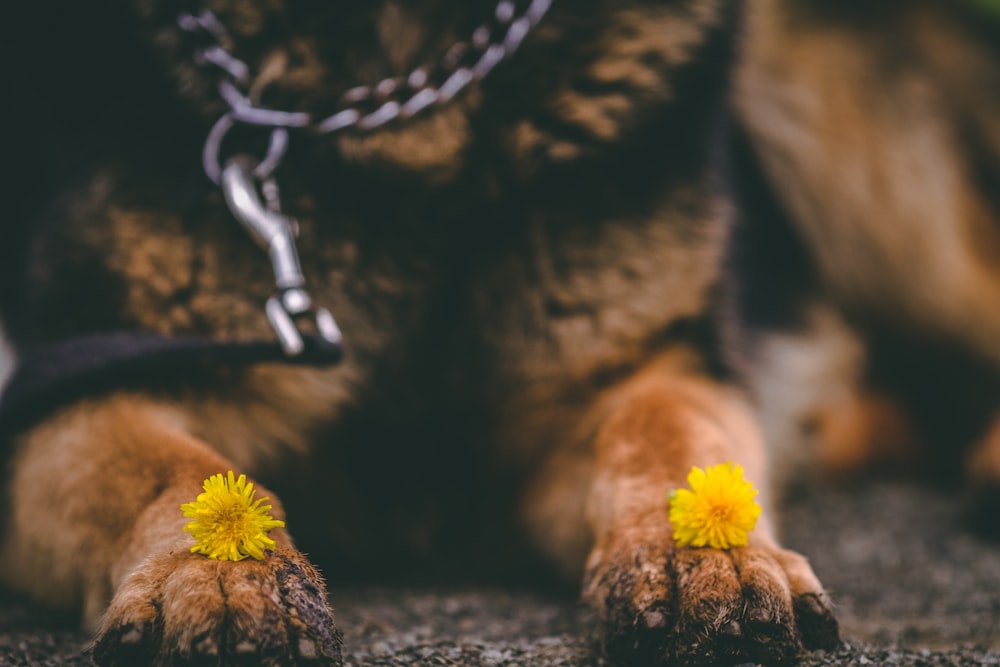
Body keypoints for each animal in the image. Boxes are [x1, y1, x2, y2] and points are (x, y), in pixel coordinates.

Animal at [0, 1, 852, 667]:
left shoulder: (640, 371)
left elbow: (671, 433)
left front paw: (707, 551)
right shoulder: (67, 390)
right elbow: (175, 470)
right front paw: (217, 572)